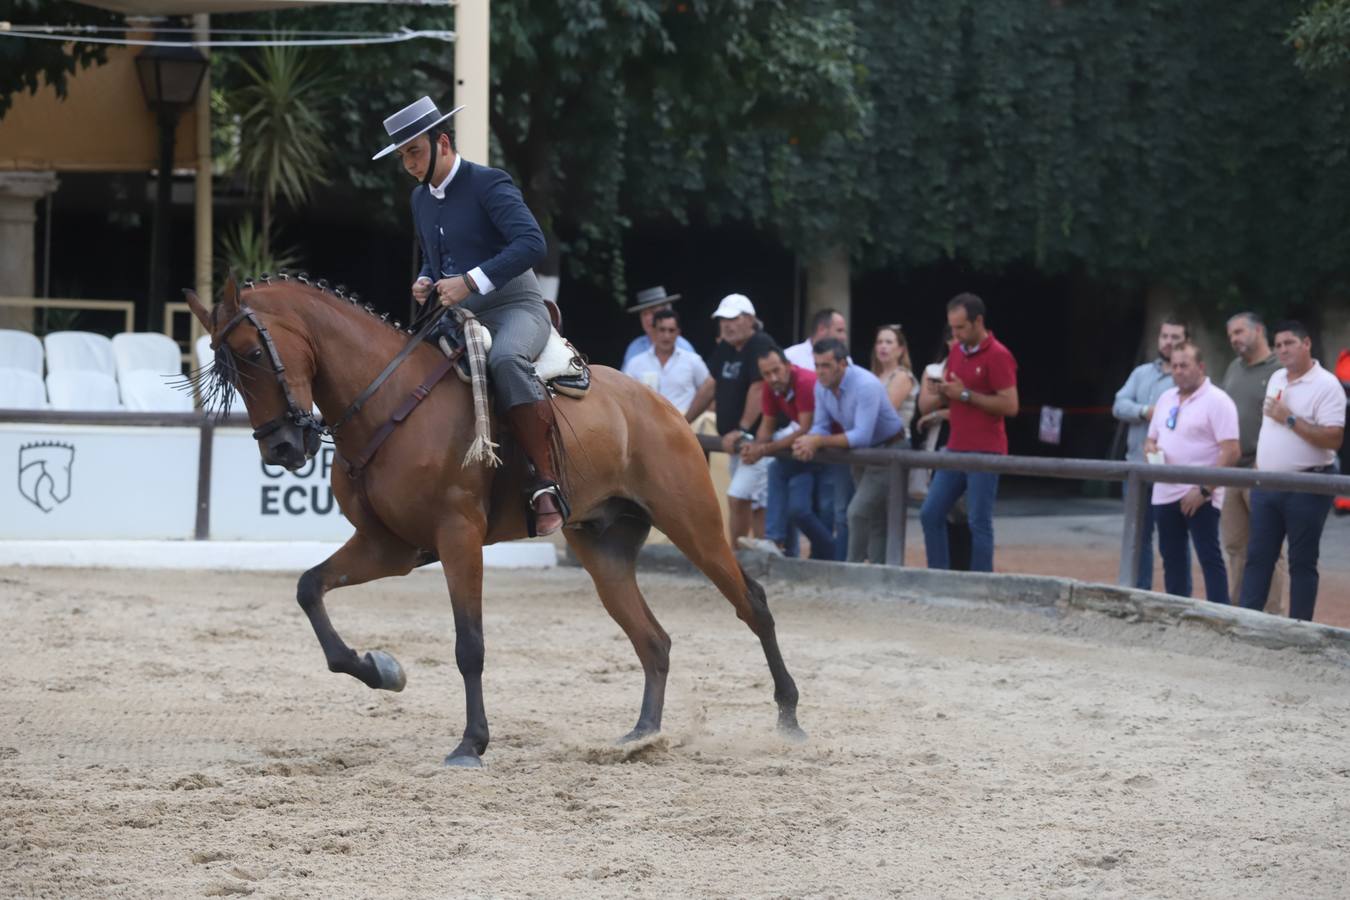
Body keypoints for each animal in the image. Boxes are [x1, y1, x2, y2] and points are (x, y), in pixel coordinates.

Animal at [189, 276, 799, 766]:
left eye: (252, 353)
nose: (283, 449)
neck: (387, 400)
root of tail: (662, 406)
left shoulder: (457, 537)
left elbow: (469, 645)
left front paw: (471, 743)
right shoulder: (389, 546)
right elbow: (310, 590)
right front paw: (381, 669)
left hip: (693, 524)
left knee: (753, 605)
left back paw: (789, 719)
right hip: (603, 550)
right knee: (653, 639)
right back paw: (642, 736)